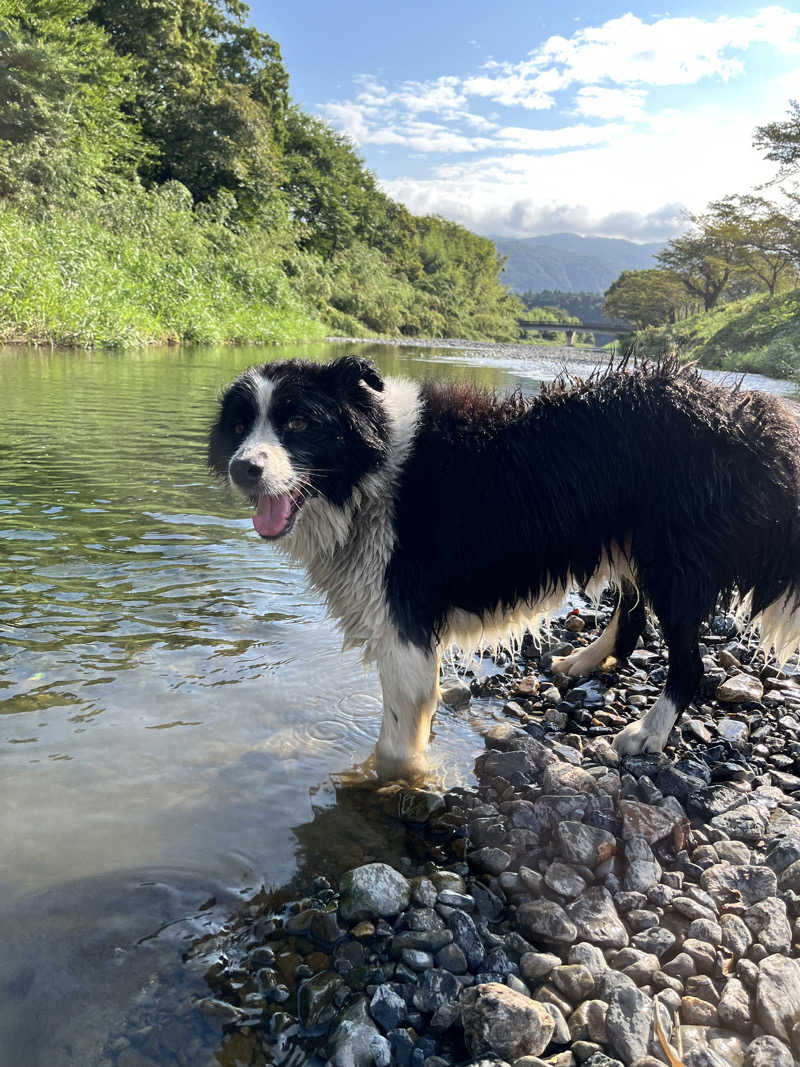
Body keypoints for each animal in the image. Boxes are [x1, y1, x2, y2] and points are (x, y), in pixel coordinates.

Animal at [208, 354, 800, 781]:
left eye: (298, 421)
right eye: (239, 426)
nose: (243, 469)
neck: (367, 477)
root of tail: (741, 411)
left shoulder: (405, 620)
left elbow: (398, 737)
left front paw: (388, 785)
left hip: (673, 559)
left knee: (688, 662)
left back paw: (647, 733)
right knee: (632, 615)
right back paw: (583, 661)